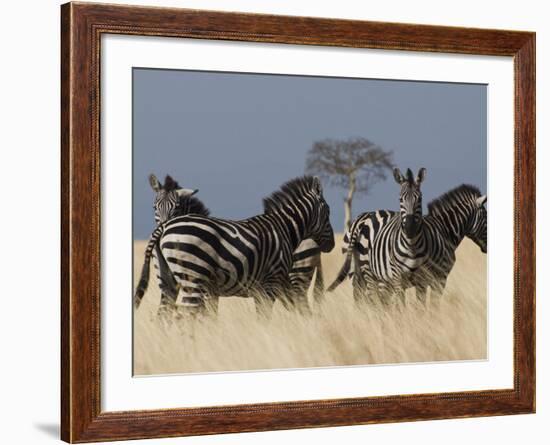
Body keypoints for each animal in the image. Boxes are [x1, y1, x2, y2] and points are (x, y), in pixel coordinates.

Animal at [328, 169, 488, 302]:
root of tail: (361, 219)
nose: (486, 248)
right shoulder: (440, 277)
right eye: (487, 216)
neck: (444, 229)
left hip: (356, 273)